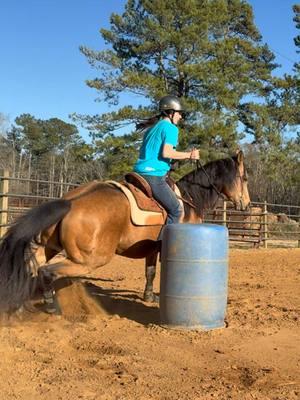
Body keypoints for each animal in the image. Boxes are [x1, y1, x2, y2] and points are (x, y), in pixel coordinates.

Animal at [0, 150, 250, 316]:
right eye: (245, 178)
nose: (246, 205)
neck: (190, 200)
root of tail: (70, 202)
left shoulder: (152, 248)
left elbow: (150, 272)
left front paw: (149, 296)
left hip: (49, 247)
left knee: (30, 266)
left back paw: (20, 305)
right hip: (89, 260)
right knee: (45, 271)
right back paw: (52, 307)